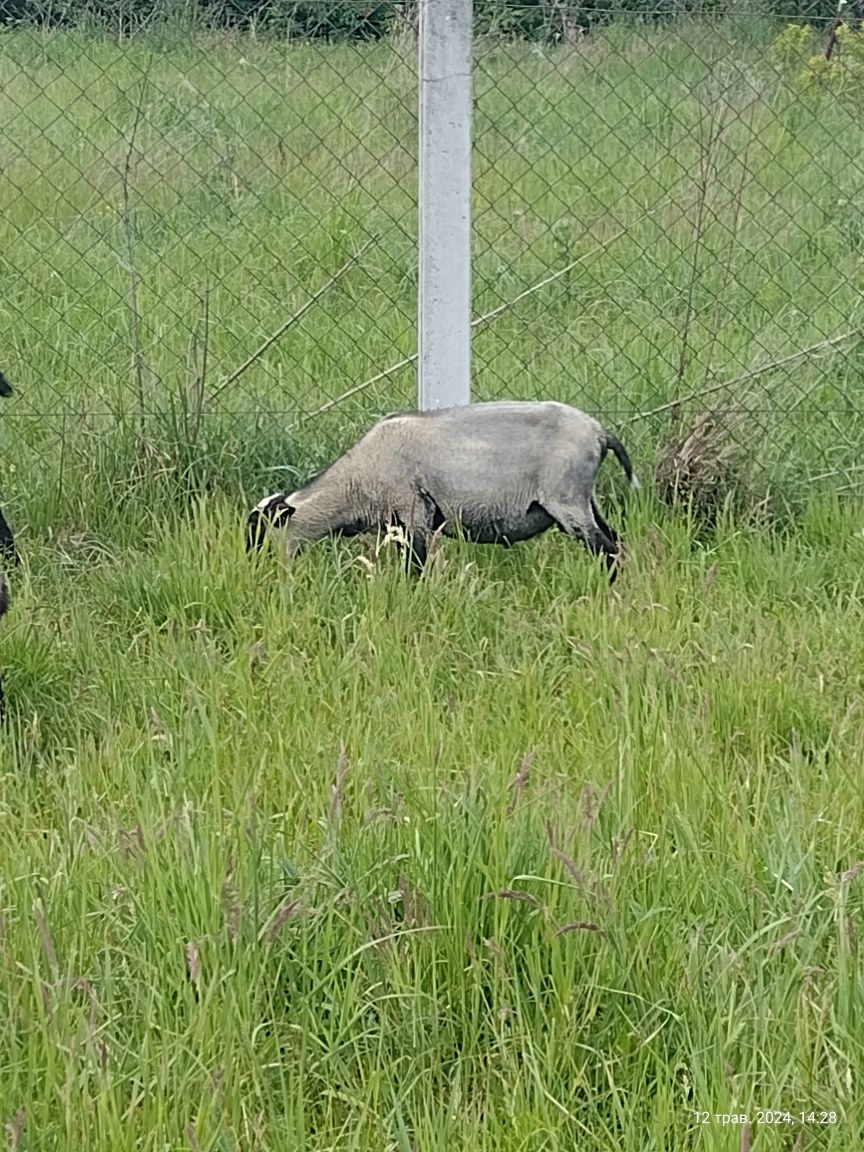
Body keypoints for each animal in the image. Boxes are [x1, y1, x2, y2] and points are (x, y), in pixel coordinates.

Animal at [246, 398, 640, 580]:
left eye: (261, 534)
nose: (254, 569)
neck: (353, 485)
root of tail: (599, 432)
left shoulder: (414, 512)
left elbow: (416, 566)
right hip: (586, 500)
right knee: (616, 541)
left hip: (567, 501)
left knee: (606, 549)